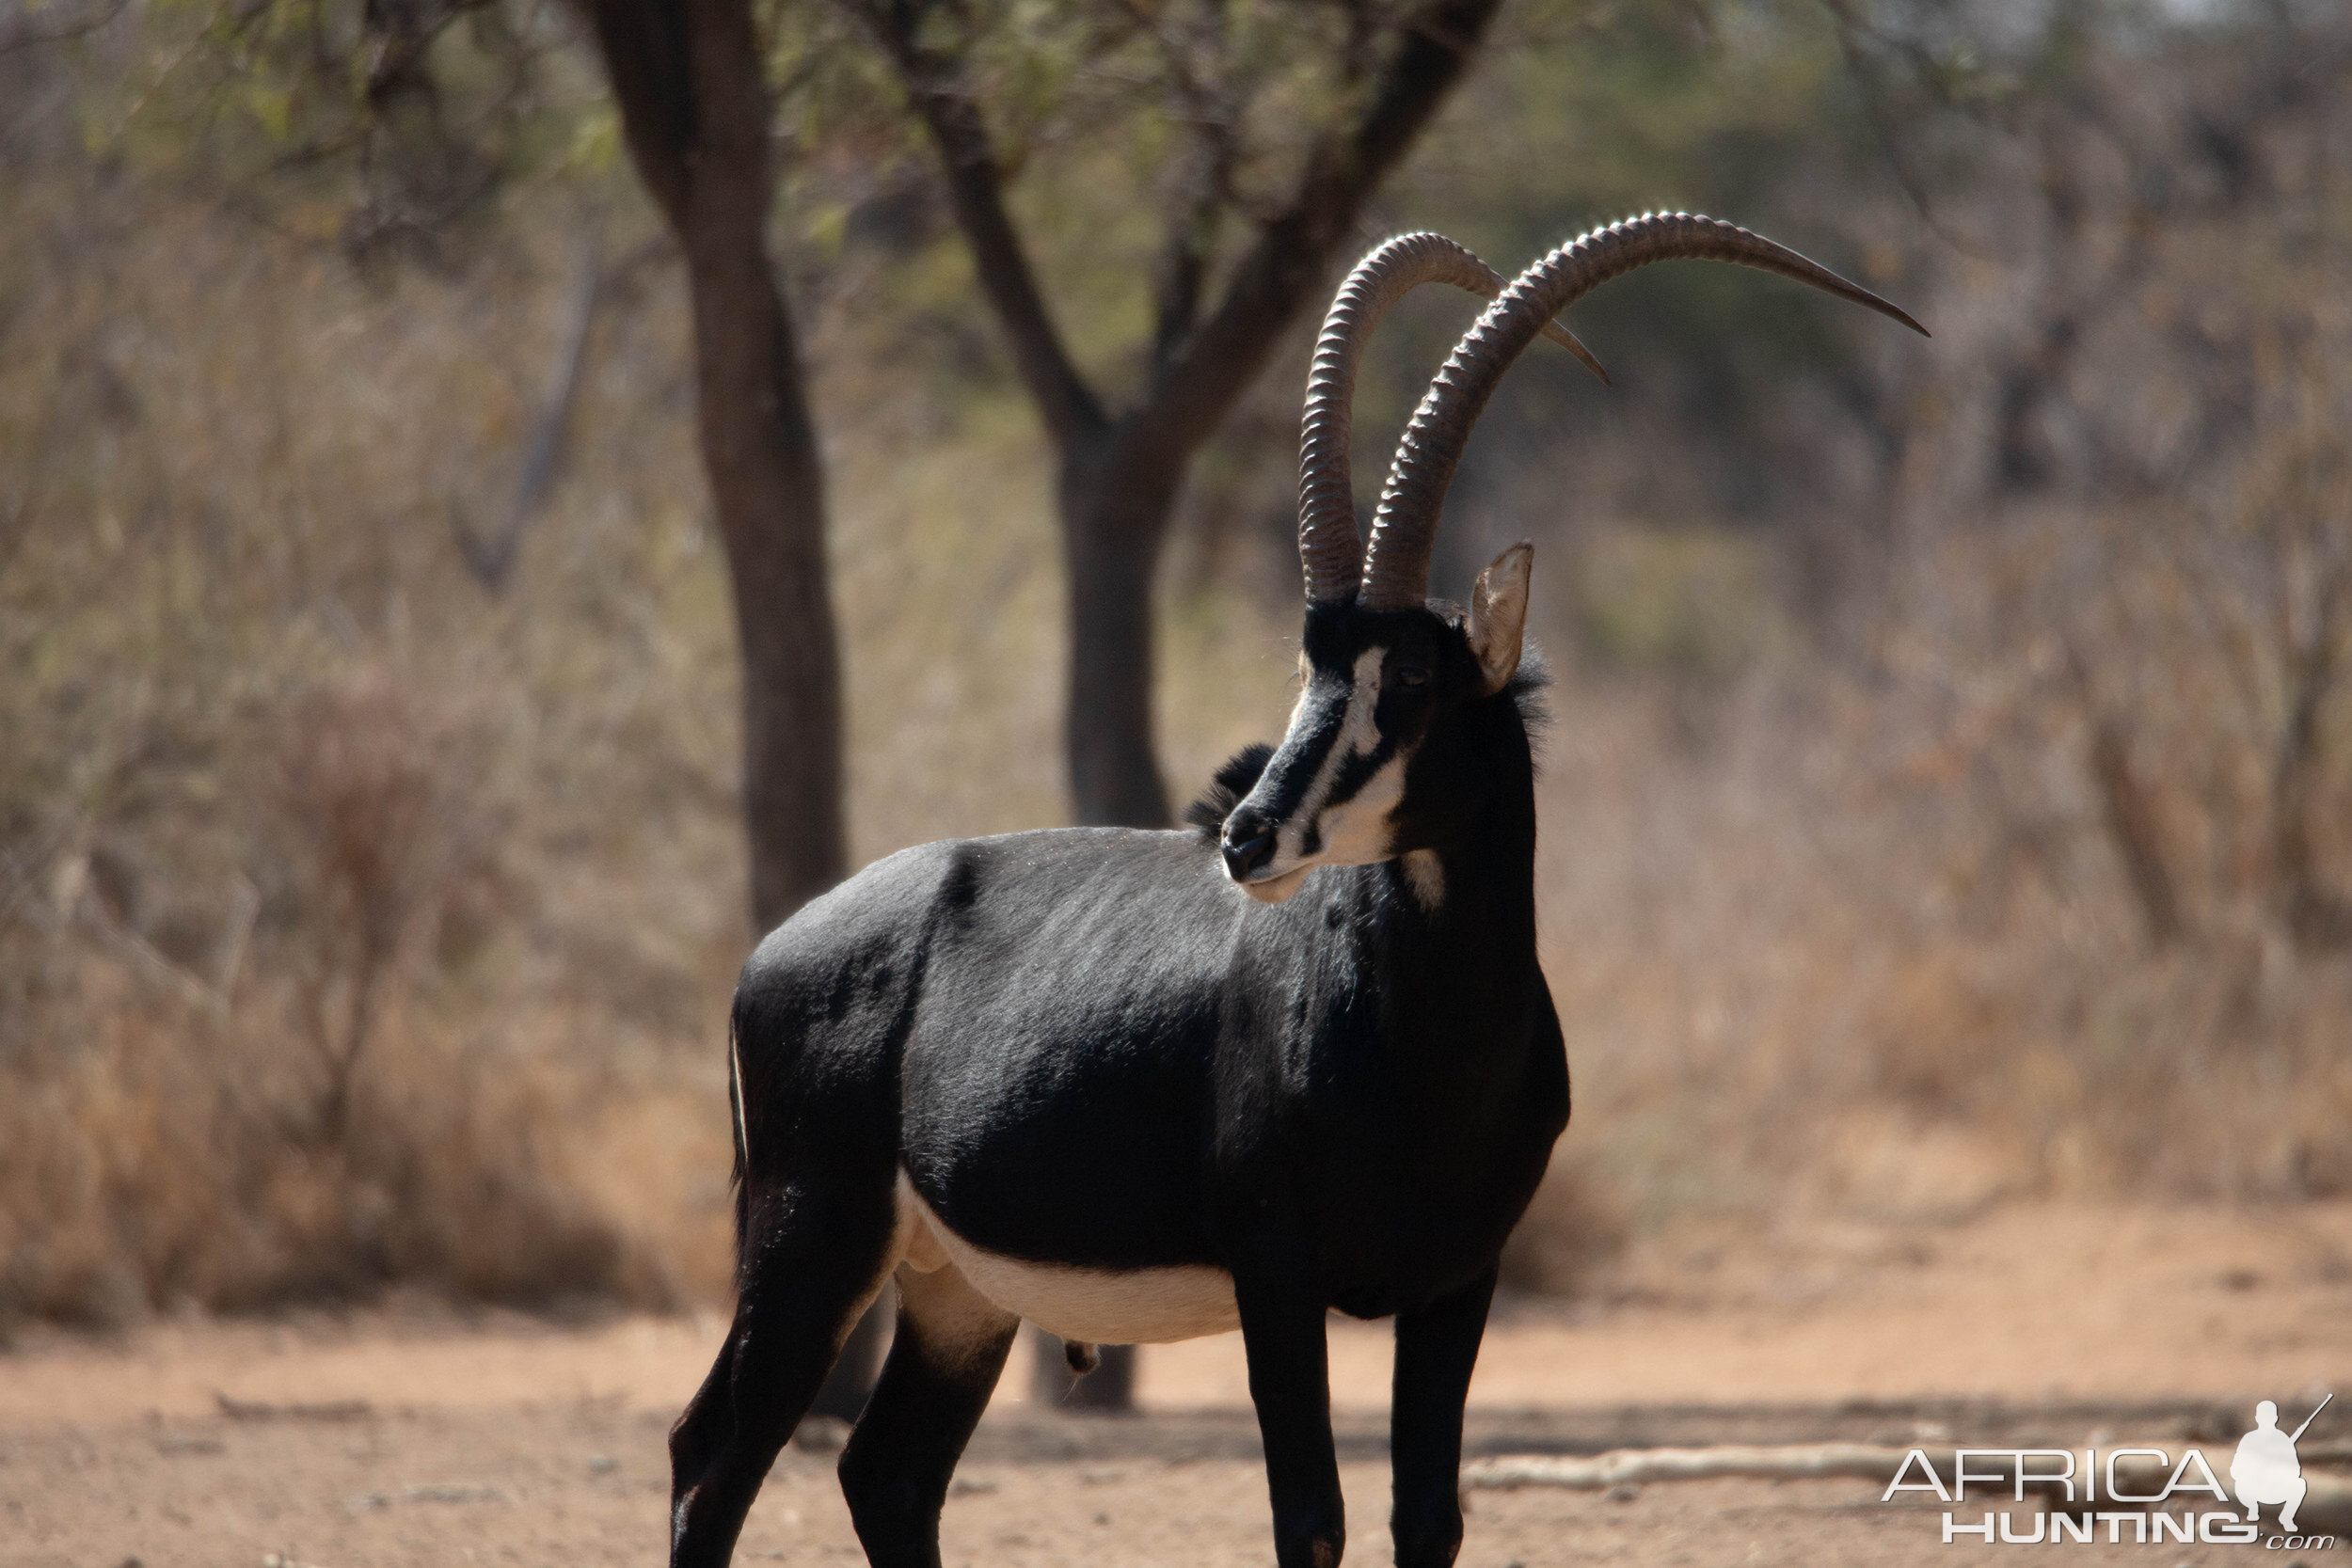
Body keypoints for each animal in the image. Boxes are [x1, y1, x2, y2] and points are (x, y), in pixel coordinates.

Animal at [673, 211, 1919, 1568]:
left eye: (1409, 678)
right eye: (1311, 665)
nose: (1249, 834)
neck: (1427, 1045)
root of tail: (773, 949)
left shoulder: (1460, 1279)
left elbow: (1427, 1518)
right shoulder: (1278, 1275)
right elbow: (1311, 1520)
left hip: (955, 1288)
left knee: (887, 1473)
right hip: (814, 1237)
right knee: (712, 1456)